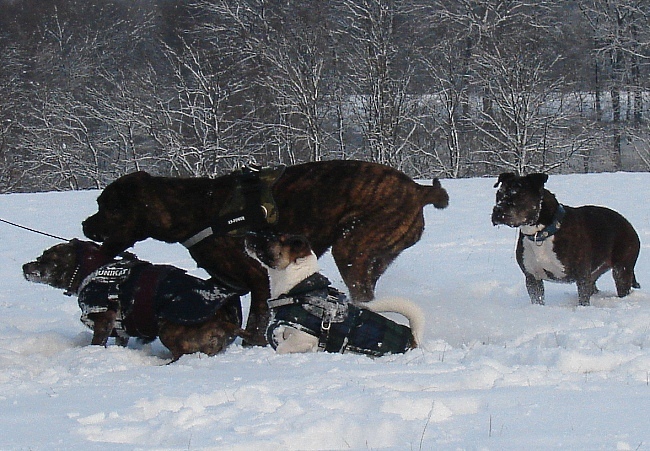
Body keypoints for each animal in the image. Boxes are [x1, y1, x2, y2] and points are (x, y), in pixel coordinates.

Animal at [22, 240, 246, 364]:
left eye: (46, 257)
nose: (25, 266)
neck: (88, 268)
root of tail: (225, 319)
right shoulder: (120, 328)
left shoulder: (104, 319)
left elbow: (98, 341)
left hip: (169, 329)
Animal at [81, 161, 448, 344]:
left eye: (106, 207)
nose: (85, 225)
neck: (196, 209)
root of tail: (418, 190)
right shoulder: (225, 284)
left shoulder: (259, 283)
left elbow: (254, 329)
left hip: (352, 248)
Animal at [492, 174, 636, 308]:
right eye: (498, 194)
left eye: (518, 194)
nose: (497, 209)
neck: (541, 233)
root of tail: (628, 223)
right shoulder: (532, 277)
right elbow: (537, 298)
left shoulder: (582, 276)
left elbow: (583, 298)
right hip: (595, 272)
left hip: (622, 269)